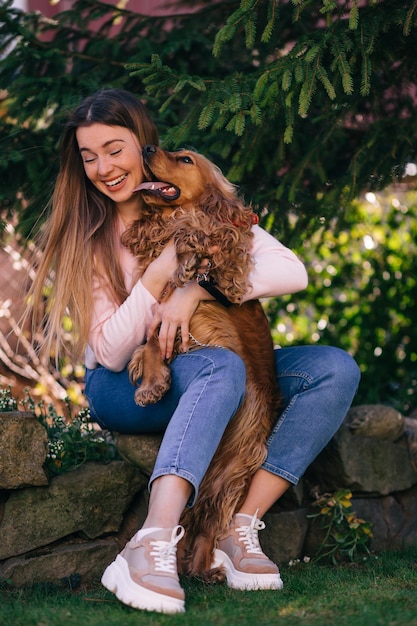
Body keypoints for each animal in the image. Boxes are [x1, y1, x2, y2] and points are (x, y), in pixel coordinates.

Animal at [122, 144, 282, 576]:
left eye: (186, 159)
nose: (146, 147)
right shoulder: (164, 316)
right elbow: (148, 343)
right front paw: (152, 385)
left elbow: (209, 238)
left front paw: (192, 247)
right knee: (195, 516)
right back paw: (187, 567)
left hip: (233, 468)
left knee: (212, 518)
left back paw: (206, 569)